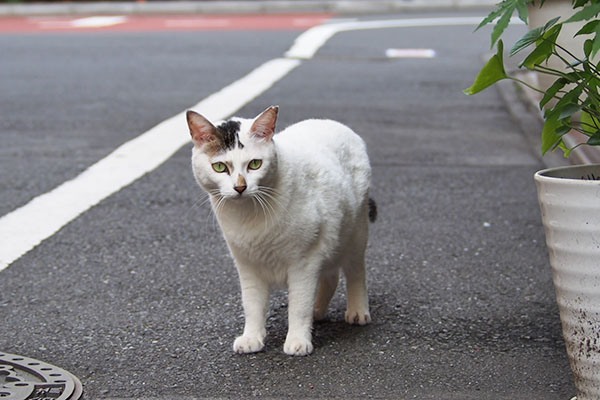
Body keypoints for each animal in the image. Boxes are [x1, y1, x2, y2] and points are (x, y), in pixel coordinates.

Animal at [185, 106, 378, 356]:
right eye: (220, 167)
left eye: (255, 164)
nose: (240, 187)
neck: (248, 216)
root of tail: (334, 123)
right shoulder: (247, 266)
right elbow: (252, 304)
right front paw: (252, 338)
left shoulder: (304, 263)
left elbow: (298, 305)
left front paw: (298, 341)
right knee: (331, 276)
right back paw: (318, 311)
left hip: (355, 233)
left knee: (355, 272)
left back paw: (357, 311)